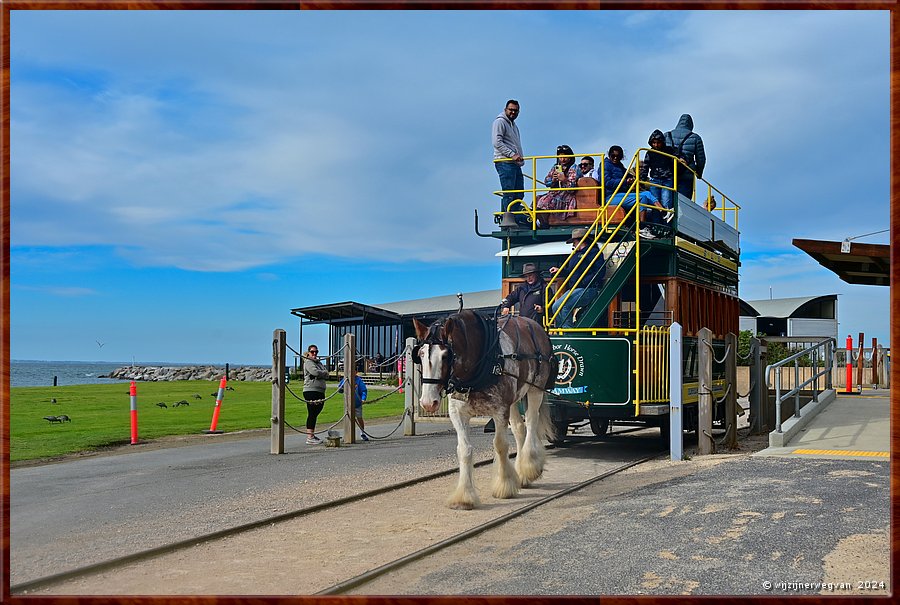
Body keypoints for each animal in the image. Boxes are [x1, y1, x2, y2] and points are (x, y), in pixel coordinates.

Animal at [414, 306, 556, 510]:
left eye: (445, 356)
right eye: (420, 355)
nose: (427, 402)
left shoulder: (500, 411)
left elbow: (500, 445)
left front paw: (505, 485)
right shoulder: (458, 414)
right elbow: (464, 450)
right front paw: (464, 496)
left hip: (535, 389)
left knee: (531, 422)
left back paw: (530, 467)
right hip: (515, 399)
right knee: (519, 428)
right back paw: (522, 475)